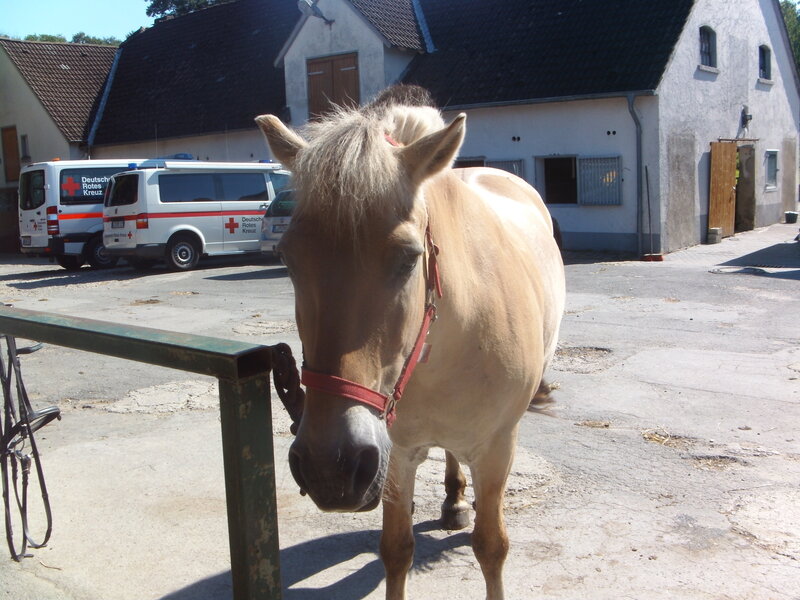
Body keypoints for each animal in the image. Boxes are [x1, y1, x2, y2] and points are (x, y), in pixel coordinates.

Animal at [256, 86, 565, 600]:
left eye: (406, 257)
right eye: (287, 257)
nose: (331, 467)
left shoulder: (497, 448)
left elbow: (491, 547)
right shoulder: (393, 455)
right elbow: (397, 549)